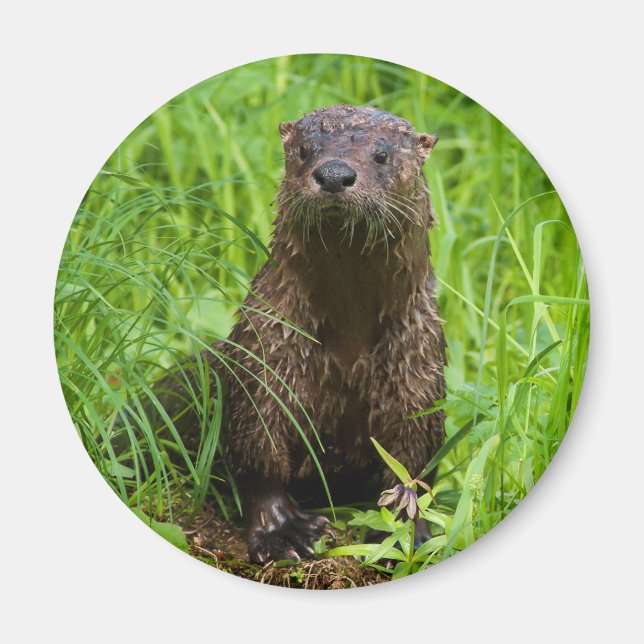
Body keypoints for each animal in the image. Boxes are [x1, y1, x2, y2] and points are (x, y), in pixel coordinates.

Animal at [115, 104, 446, 564]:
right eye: (305, 150)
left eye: (381, 155)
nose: (335, 173)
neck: (348, 346)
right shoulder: (265, 359)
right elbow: (258, 455)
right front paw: (283, 531)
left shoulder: (418, 371)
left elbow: (411, 466)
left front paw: (406, 536)